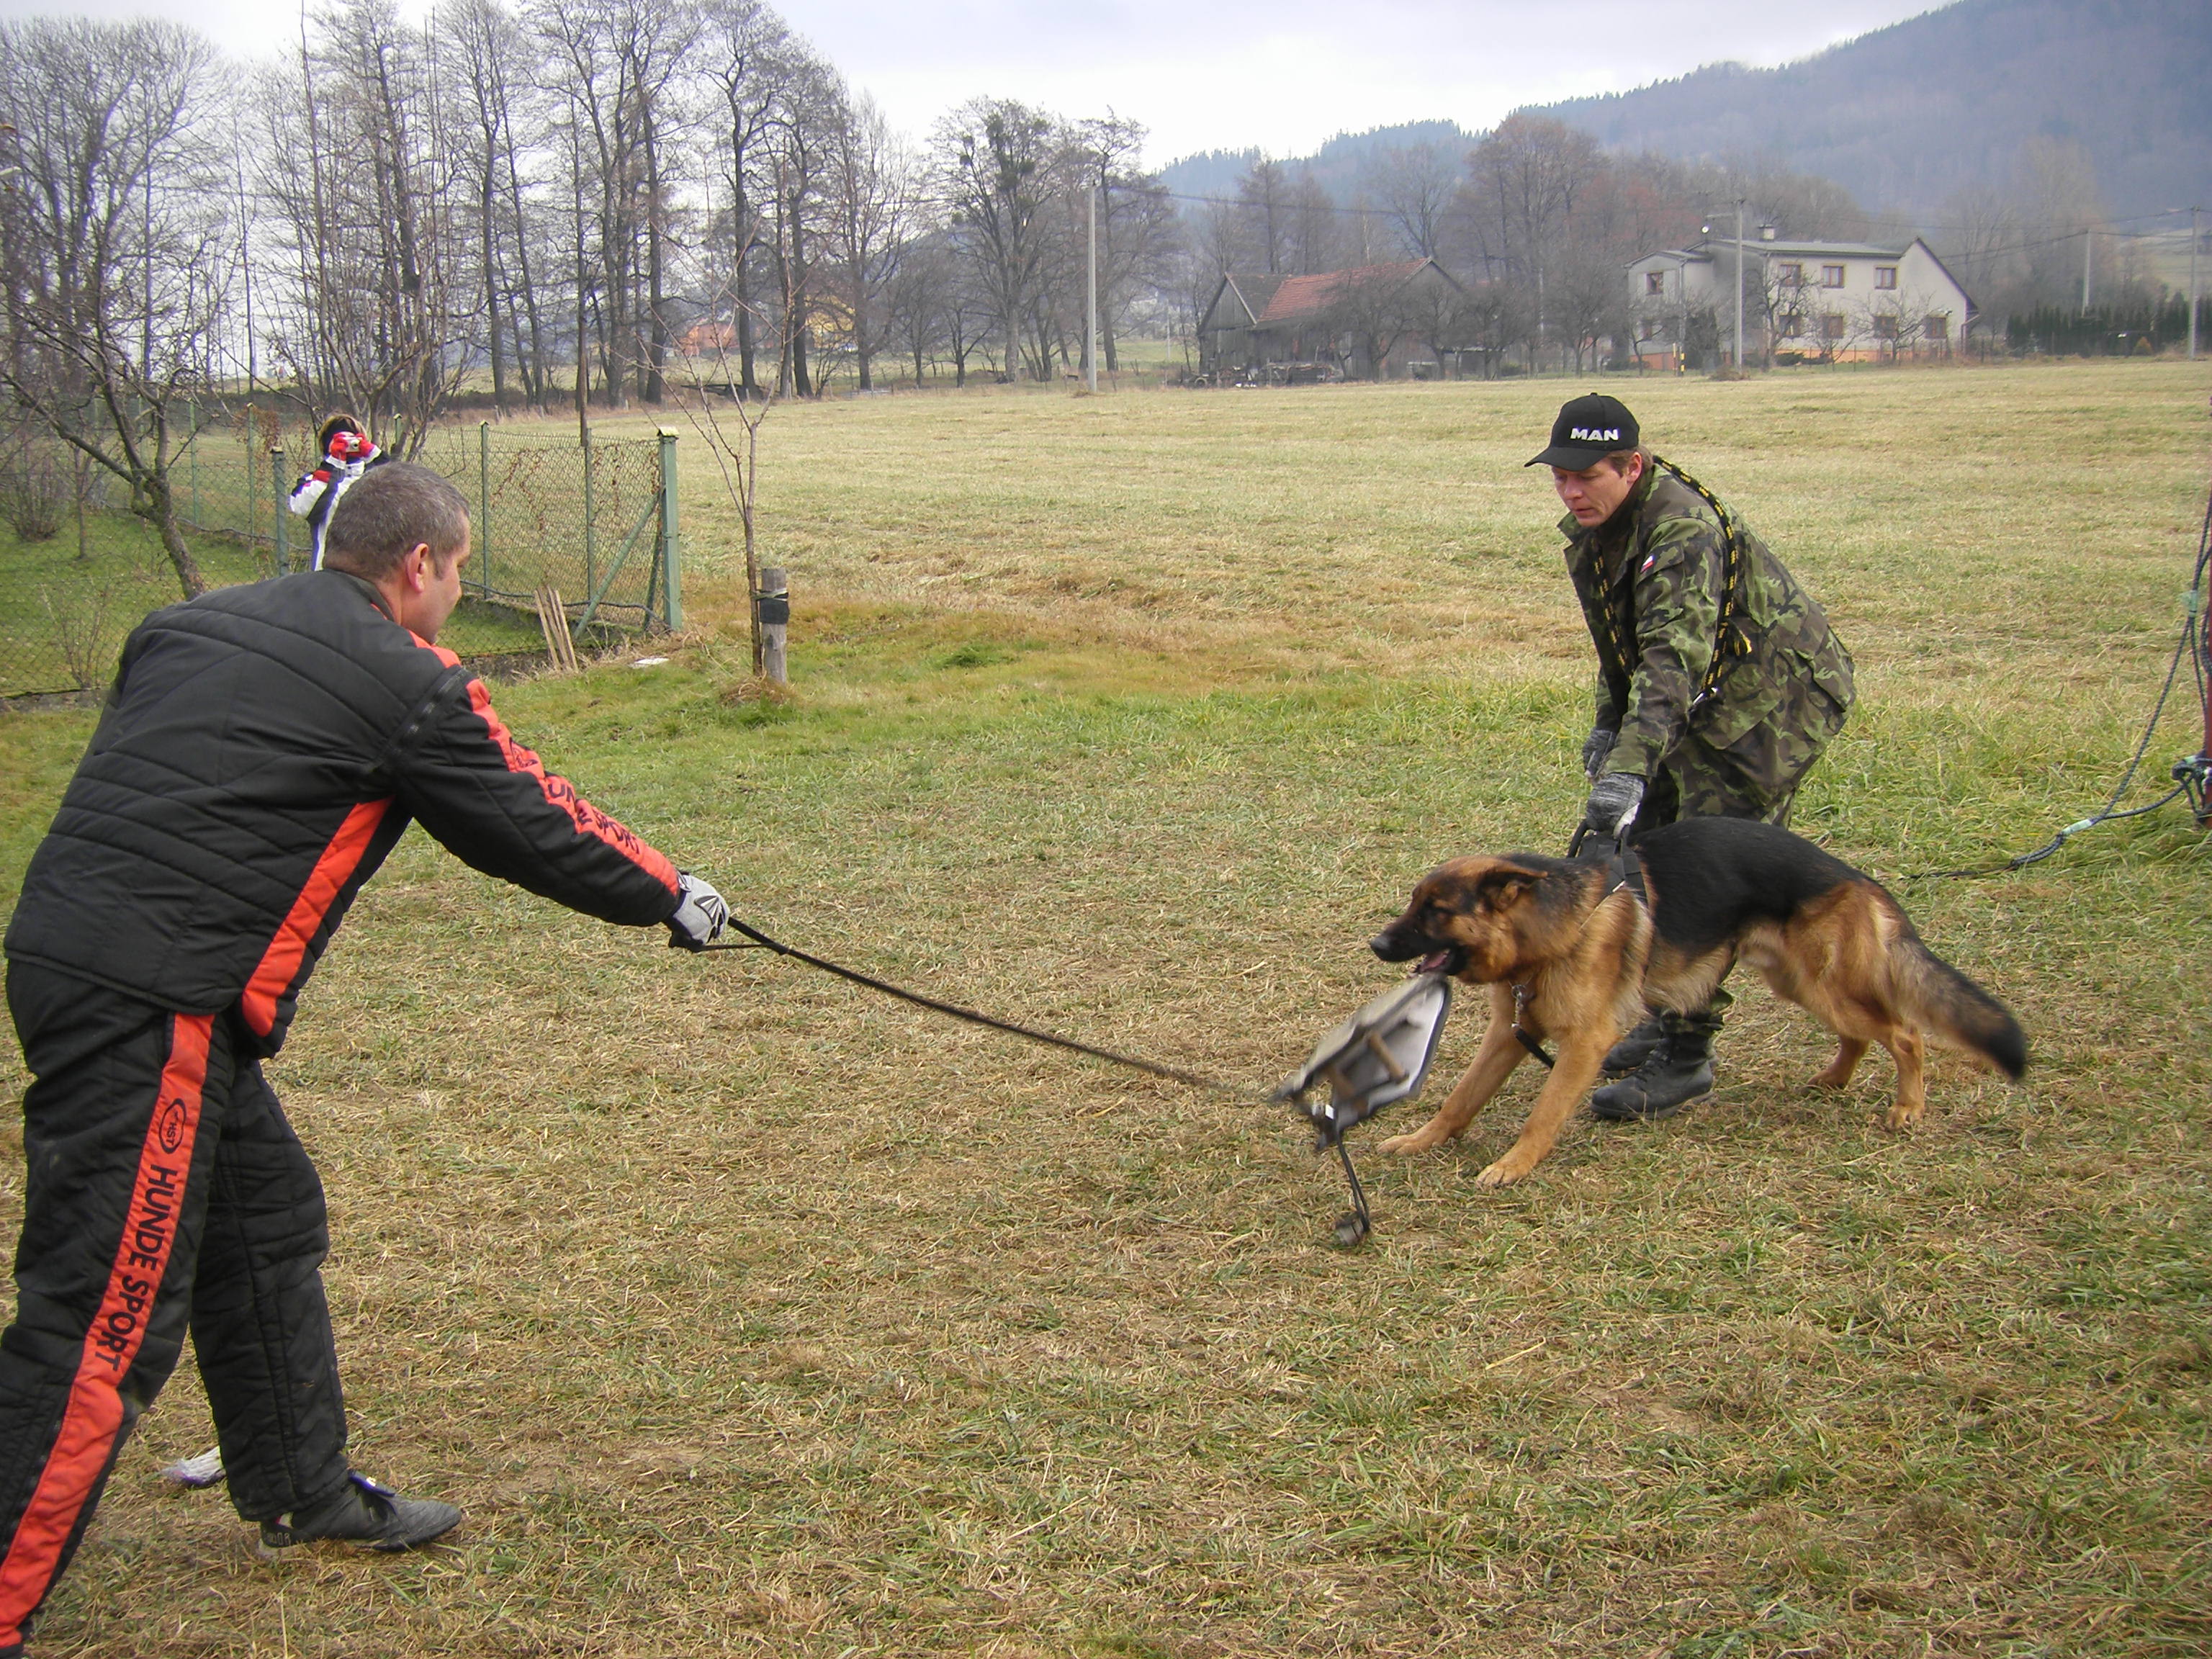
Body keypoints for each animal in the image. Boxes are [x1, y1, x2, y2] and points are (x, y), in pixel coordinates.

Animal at [1371, 814, 2026, 1185]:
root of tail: (1859, 877)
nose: (1376, 943)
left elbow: (1543, 1115)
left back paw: (1908, 1107)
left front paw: (1513, 1166)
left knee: (1906, 1033)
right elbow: (1460, 1099)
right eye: (1415, 903)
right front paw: (1421, 1141)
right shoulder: (1510, 1034)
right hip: (1802, 982)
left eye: (1435, 911)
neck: (1557, 929)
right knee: (1862, 1033)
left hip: (1825, 983)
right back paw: (1834, 1080)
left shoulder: (1584, 1043)